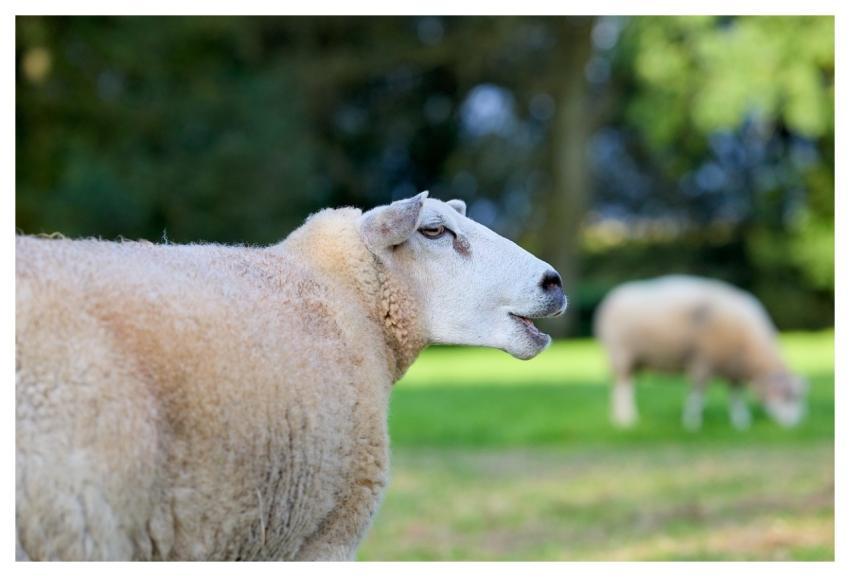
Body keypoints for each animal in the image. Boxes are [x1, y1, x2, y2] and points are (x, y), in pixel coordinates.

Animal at [594, 275, 806, 431]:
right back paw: (626, 420)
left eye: (797, 397)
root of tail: (609, 299)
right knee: (622, 389)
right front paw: (692, 423)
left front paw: (740, 423)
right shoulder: (703, 361)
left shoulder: (733, 367)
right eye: (787, 396)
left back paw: (622, 418)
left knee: (623, 387)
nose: (796, 425)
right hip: (621, 355)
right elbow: (697, 394)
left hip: (634, 360)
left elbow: (735, 396)